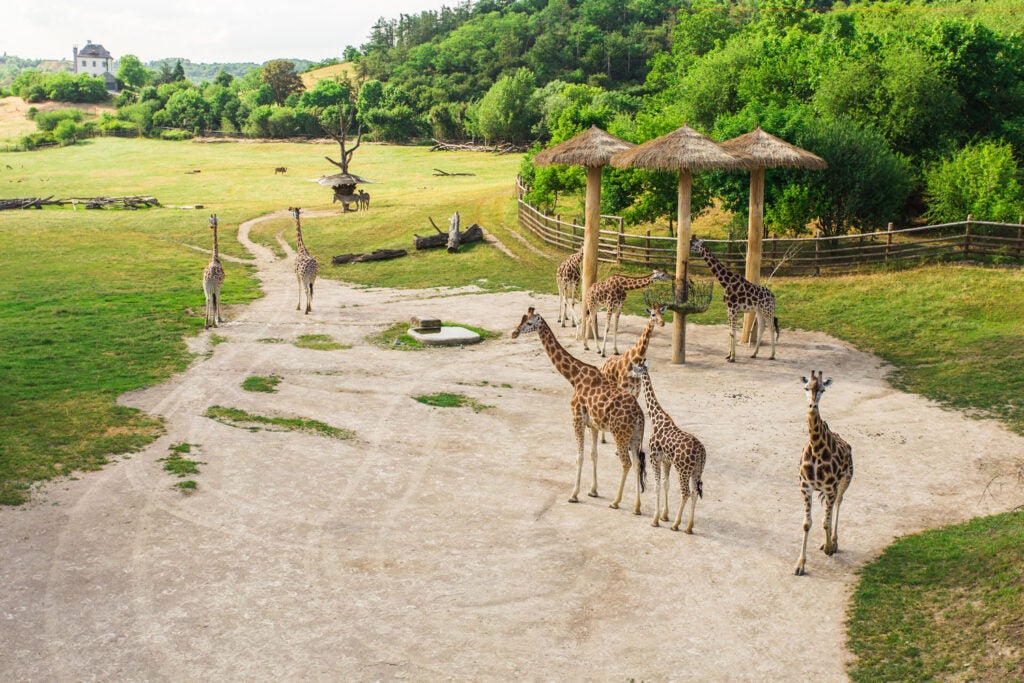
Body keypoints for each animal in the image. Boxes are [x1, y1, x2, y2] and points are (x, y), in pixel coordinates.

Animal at [512, 309, 647, 511]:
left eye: (529, 323)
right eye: (521, 319)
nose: (514, 333)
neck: (574, 377)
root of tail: (640, 416)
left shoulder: (576, 419)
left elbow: (579, 456)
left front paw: (574, 494)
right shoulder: (593, 425)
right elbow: (593, 455)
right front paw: (593, 490)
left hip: (620, 434)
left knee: (626, 463)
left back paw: (616, 501)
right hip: (635, 436)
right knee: (638, 464)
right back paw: (637, 507)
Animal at [626, 360, 708, 536]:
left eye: (635, 369)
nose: (629, 374)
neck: (657, 419)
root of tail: (701, 453)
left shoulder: (654, 458)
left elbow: (657, 486)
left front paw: (655, 520)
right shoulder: (666, 461)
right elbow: (665, 484)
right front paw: (664, 516)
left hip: (683, 469)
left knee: (685, 493)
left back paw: (676, 525)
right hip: (697, 470)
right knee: (694, 493)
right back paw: (689, 527)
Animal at [790, 368, 856, 577]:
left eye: (822, 390)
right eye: (806, 387)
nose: (812, 406)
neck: (817, 449)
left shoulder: (829, 488)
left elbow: (825, 521)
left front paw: (829, 547)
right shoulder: (806, 487)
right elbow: (807, 523)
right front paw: (800, 564)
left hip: (845, 480)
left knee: (838, 504)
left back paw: (833, 542)